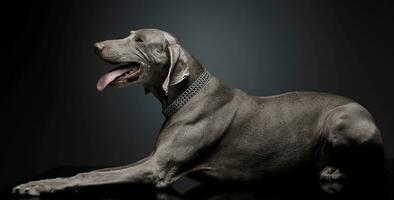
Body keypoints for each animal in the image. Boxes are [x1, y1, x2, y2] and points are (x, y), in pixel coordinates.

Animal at [12, 28, 384, 195]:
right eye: (130, 35)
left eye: (140, 40)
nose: (96, 46)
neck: (186, 96)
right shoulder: (151, 158)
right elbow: (95, 170)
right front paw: (43, 180)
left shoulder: (156, 169)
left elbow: (90, 176)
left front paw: (39, 187)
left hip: (341, 119)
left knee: (372, 162)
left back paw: (334, 171)